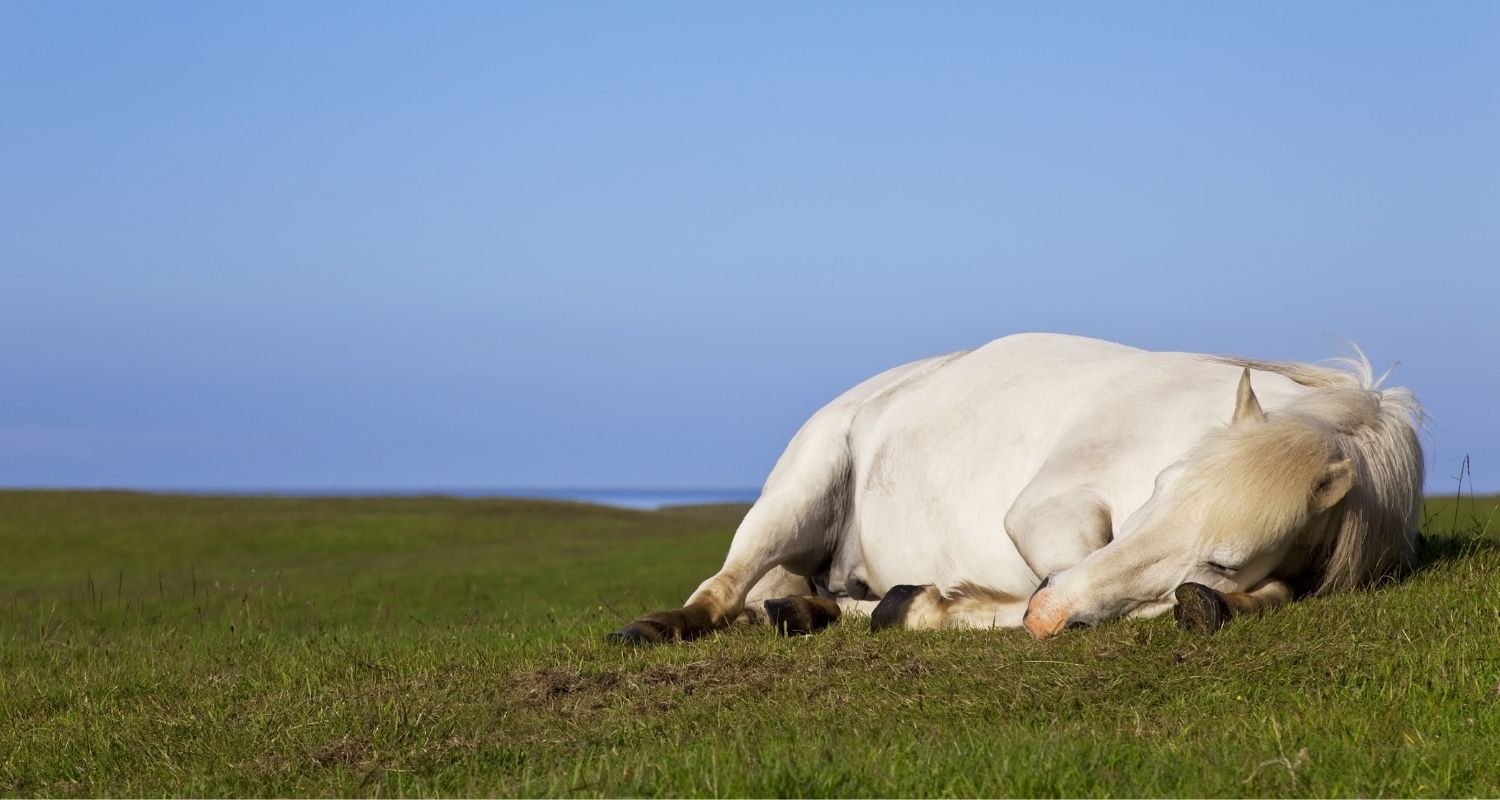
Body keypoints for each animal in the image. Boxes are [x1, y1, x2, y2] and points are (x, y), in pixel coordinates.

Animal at [611, 333, 1424, 643]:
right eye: (1161, 484)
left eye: (1226, 557)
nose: (1046, 617)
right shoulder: (1045, 514)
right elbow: (1066, 580)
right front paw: (940, 607)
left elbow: (1222, 597)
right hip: (796, 495)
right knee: (721, 590)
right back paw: (658, 626)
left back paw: (817, 608)